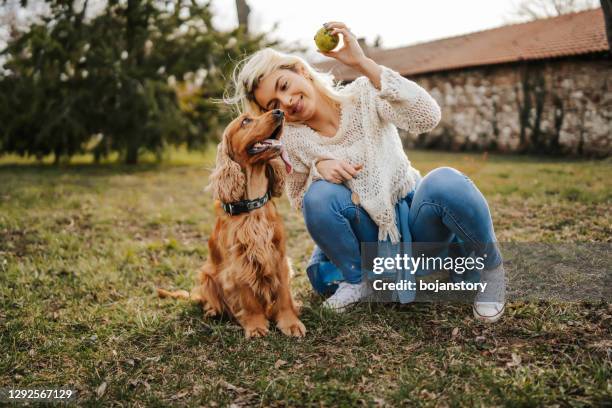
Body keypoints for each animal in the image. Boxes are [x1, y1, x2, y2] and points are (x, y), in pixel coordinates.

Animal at [155, 107, 304, 338]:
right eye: (245, 121)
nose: (280, 111)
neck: (253, 205)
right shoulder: (238, 263)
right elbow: (248, 299)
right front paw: (255, 326)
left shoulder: (278, 256)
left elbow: (284, 295)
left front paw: (291, 323)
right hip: (206, 274)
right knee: (209, 299)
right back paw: (212, 310)